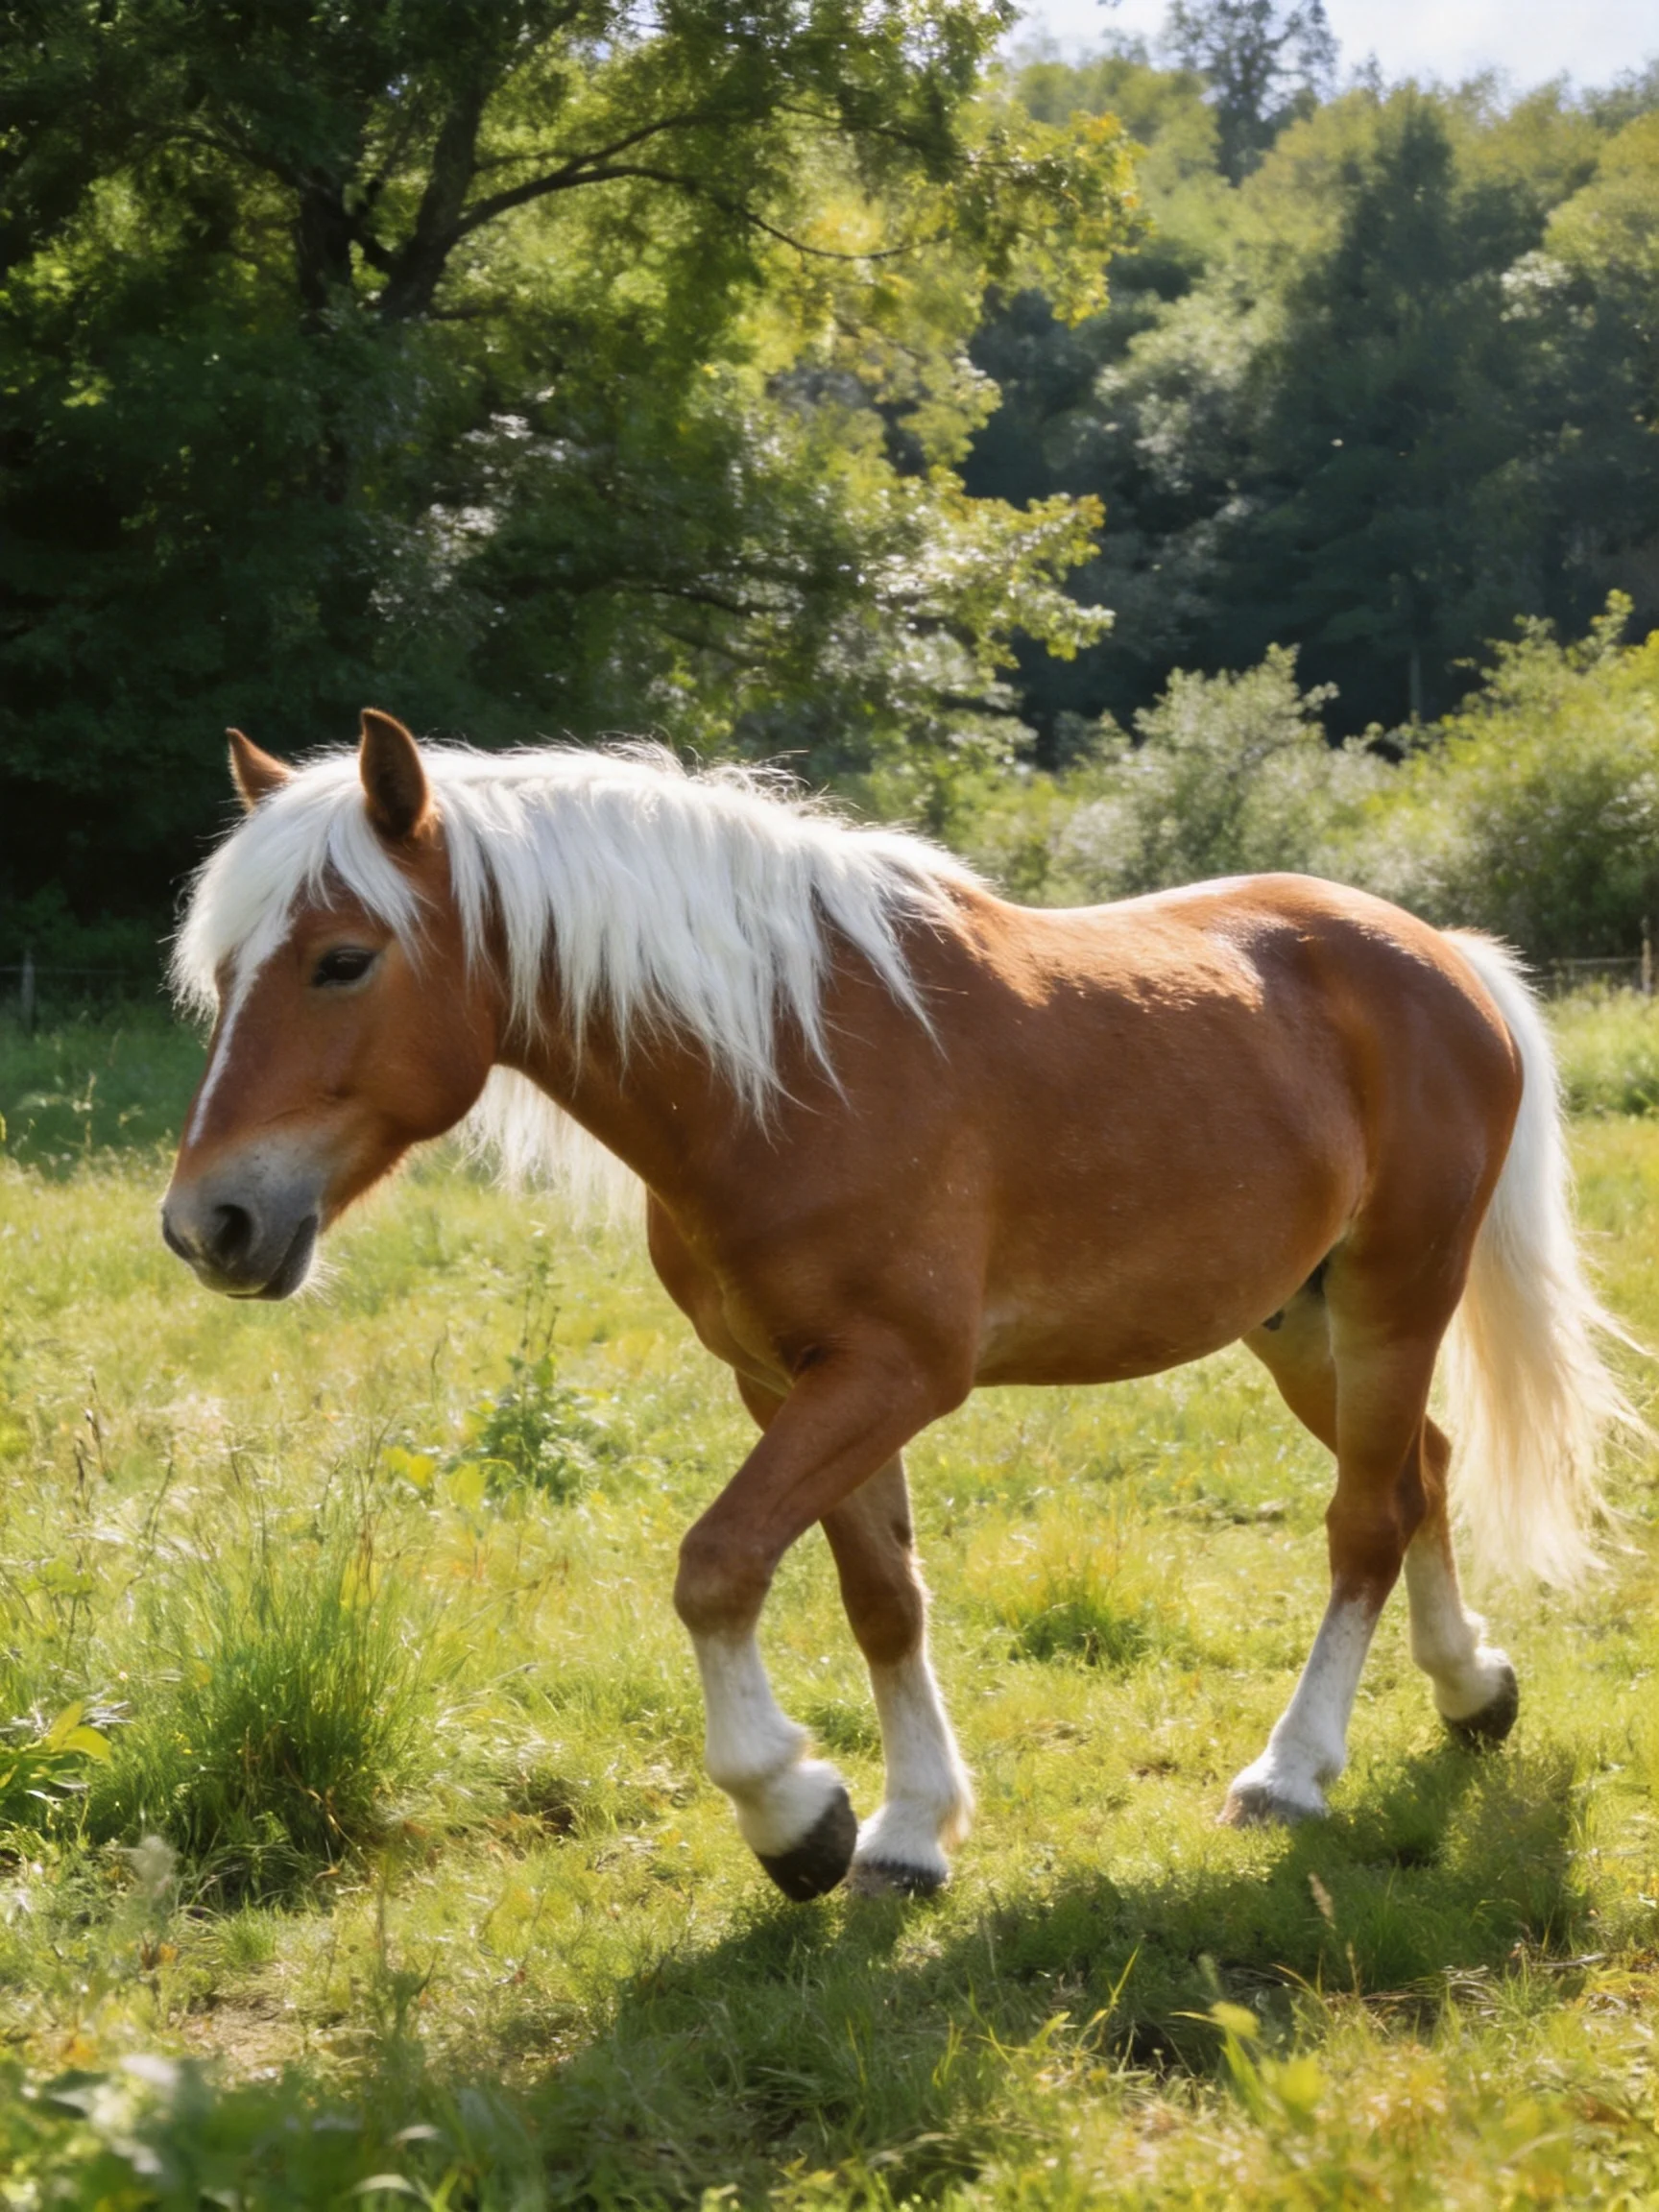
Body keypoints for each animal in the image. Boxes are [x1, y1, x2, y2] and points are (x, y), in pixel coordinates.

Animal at [161, 709, 1635, 1901]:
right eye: (225, 971)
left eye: (342, 960)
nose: (207, 1225)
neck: (785, 1068)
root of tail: (1442, 956)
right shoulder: (790, 1380)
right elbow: (880, 1600)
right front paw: (908, 1832)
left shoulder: (892, 1375)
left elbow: (717, 1566)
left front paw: (792, 1814)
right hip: (1297, 1323)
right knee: (1420, 1472)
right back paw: (1472, 1691)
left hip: (1397, 1294)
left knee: (1364, 1521)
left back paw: (1293, 1770)